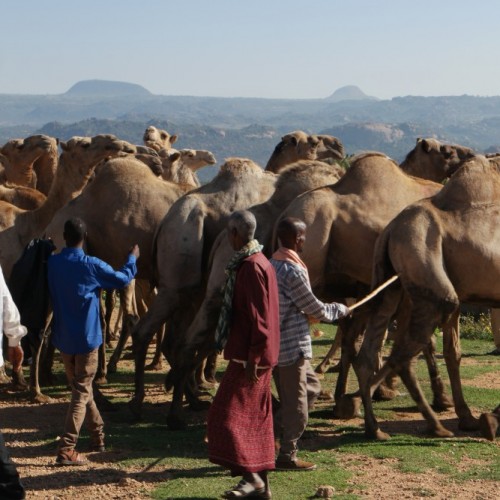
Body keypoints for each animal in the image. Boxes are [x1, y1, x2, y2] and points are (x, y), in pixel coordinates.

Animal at [129, 158, 278, 424]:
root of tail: (165, 221)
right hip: (181, 264)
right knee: (153, 332)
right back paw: (143, 405)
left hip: (192, 284)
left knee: (178, 339)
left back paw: (191, 399)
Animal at [354, 154, 498, 440]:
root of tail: (390, 229)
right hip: (430, 278)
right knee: (403, 355)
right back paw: (438, 426)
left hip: (391, 282)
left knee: (371, 352)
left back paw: (374, 427)